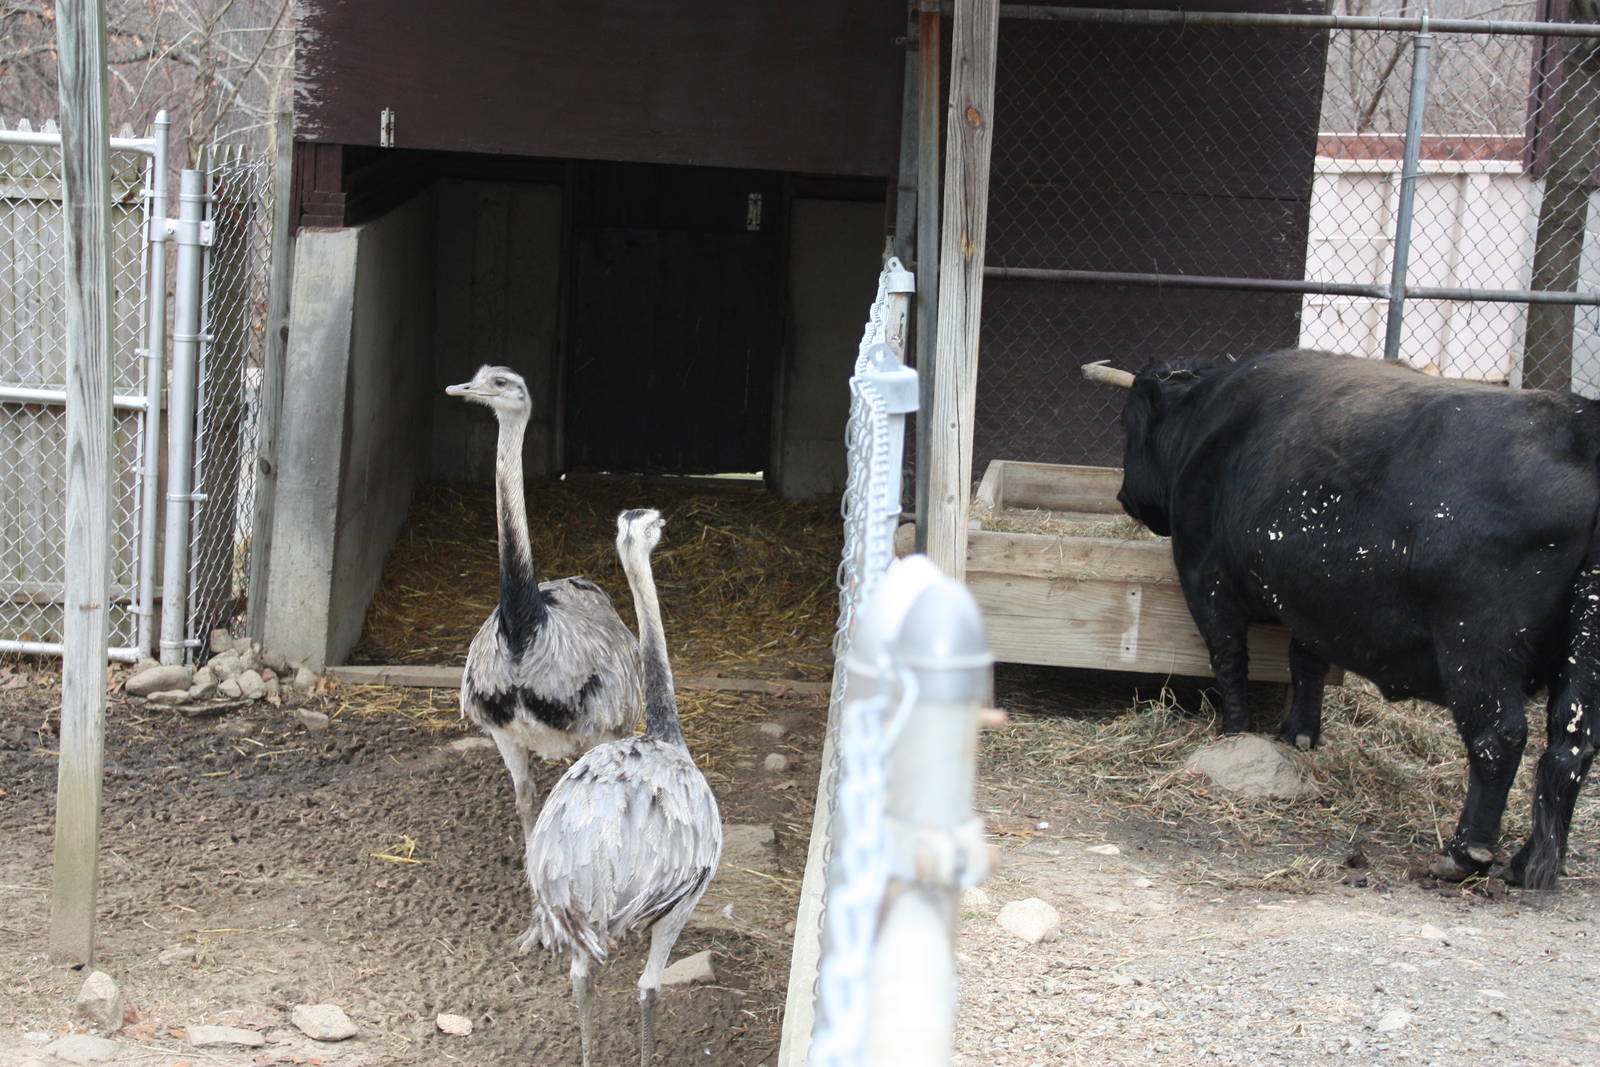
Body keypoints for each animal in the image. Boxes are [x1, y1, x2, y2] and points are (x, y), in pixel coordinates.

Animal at [1084, 348, 1600, 890]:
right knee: (1570, 748)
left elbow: (1229, 659)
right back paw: (1533, 863)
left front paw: (1236, 732)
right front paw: (1298, 735)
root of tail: (1580, 425)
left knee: (1499, 737)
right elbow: (1305, 661)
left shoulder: (1206, 578)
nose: (1124, 496)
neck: (1212, 419)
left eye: (1129, 424)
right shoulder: (1311, 601)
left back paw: (1464, 853)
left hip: (1478, 647)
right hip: (1580, 661)